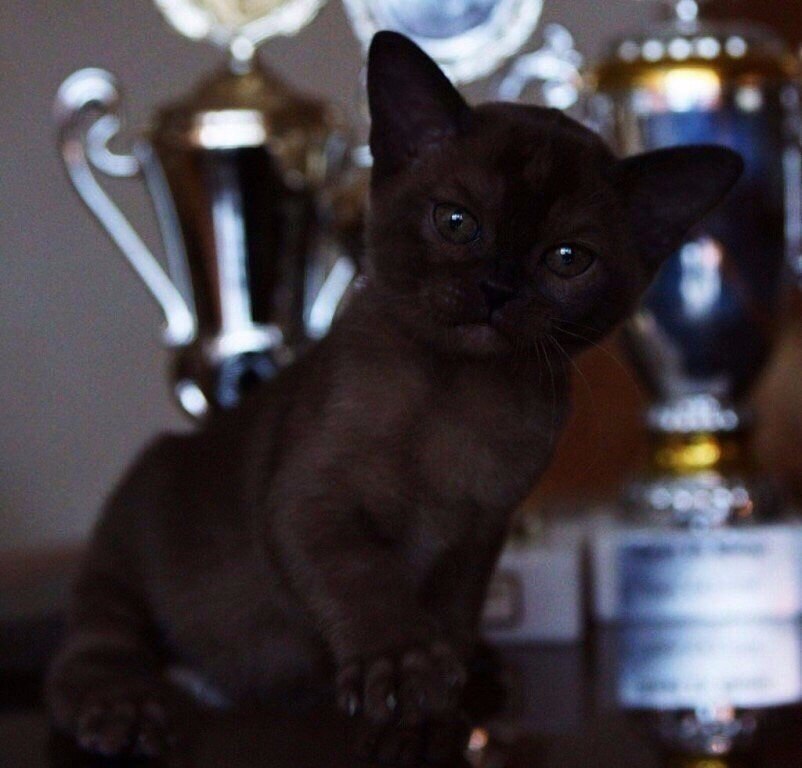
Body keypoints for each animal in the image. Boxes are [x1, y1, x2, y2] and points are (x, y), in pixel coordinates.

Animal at [45, 30, 742, 758]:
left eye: (568, 259)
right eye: (457, 222)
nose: (498, 289)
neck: (461, 398)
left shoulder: (477, 536)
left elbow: (451, 617)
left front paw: (442, 692)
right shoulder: (315, 503)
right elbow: (369, 586)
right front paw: (405, 672)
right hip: (124, 562)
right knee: (88, 653)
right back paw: (122, 709)